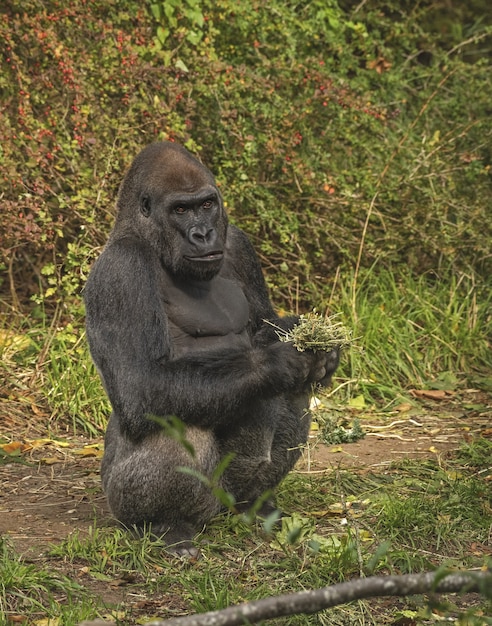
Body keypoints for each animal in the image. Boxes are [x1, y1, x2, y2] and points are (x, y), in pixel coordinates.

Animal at [84, 139, 338, 552]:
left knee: (293, 396)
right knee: (174, 419)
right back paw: (167, 526)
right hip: (130, 500)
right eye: (180, 210)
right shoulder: (122, 271)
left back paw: (257, 505)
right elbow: (142, 383)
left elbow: (263, 325)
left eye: (206, 205)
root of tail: (219, 513)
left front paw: (313, 343)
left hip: (229, 496)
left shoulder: (237, 243)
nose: (202, 234)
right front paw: (277, 363)